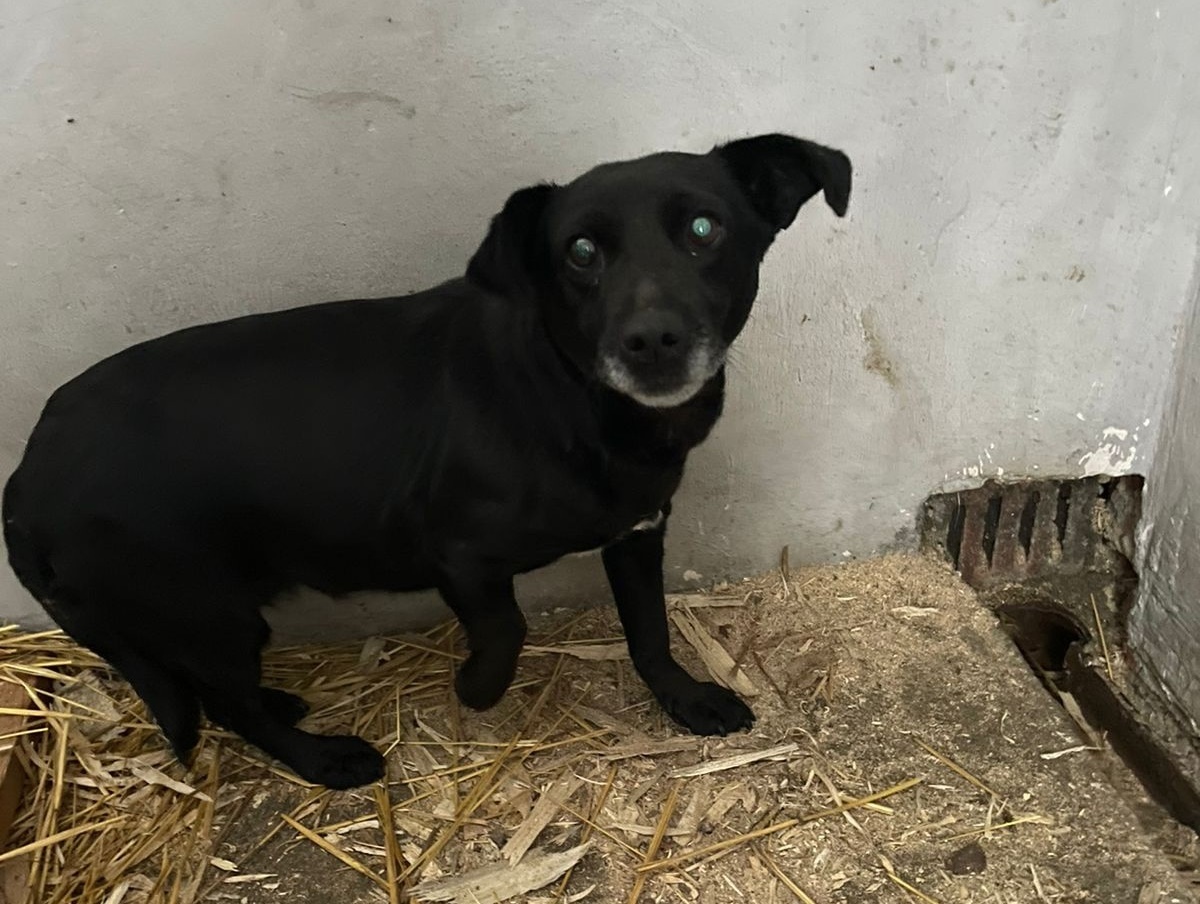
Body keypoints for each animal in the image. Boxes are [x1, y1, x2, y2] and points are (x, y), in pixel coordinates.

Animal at [0, 130, 849, 787]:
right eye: (579, 251)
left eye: (705, 229)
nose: (652, 342)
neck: (569, 395)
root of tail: (27, 476)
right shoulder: (463, 558)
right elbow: (506, 630)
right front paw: (474, 691)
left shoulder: (638, 535)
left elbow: (650, 632)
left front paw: (686, 698)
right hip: (208, 612)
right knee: (228, 703)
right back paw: (322, 760)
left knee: (217, 693)